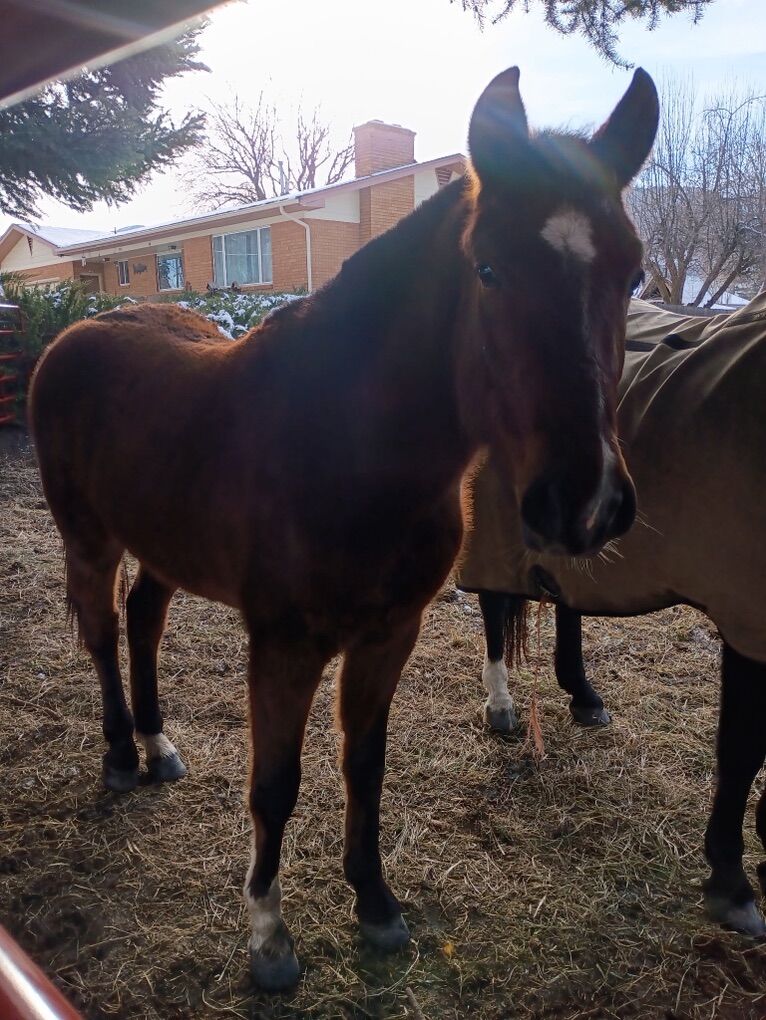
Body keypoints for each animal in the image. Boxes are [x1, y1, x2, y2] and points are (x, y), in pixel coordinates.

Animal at [29, 67, 658, 990]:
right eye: (489, 267)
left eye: (634, 272)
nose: (586, 501)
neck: (349, 446)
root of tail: (77, 330)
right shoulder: (284, 645)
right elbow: (276, 782)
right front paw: (268, 936)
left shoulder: (389, 634)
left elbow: (365, 763)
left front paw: (375, 903)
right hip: (89, 537)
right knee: (106, 632)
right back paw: (117, 755)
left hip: (163, 545)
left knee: (143, 620)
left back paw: (158, 745)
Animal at [457, 293, 766, 940]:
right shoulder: (748, 619)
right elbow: (742, 750)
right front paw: (730, 885)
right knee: (496, 602)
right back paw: (502, 704)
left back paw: (583, 694)